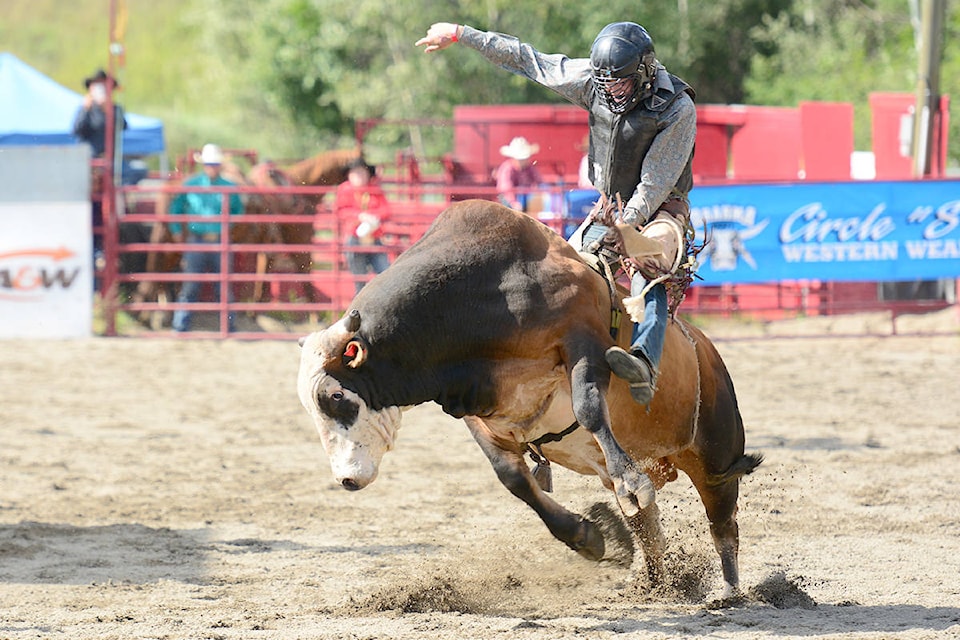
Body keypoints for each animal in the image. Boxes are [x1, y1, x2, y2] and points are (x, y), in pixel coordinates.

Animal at [296, 201, 760, 600]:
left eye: (335, 396)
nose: (346, 480)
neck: (489, 294)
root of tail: (704, 348)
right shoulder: (476, 410)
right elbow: (514, 478)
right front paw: (587, 537)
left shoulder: (583, 341)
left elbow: (589, 409)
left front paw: (630, 482)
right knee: (649, 530)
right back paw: (656, 583)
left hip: (717, 457)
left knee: (723, 523)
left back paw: (729, 591)